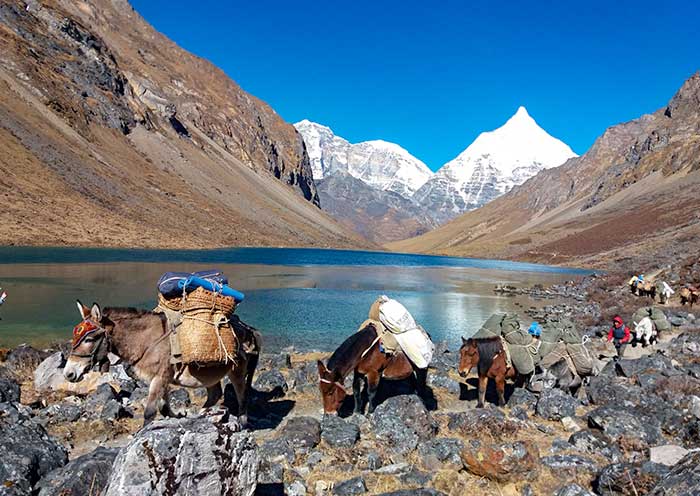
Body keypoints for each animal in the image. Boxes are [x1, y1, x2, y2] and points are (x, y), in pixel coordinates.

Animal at [62, 302, 260, 426]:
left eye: (89, 339)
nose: (68, 374)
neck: (147, 340)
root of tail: (249, 329)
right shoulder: (161, 379)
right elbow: (163, 407)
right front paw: (177, 417)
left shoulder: (160, 377)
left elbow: (150, 411)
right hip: (209, 374)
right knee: (215, 394)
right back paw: (200, 414)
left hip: (237, 371)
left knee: (242, 395)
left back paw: (241, 422)